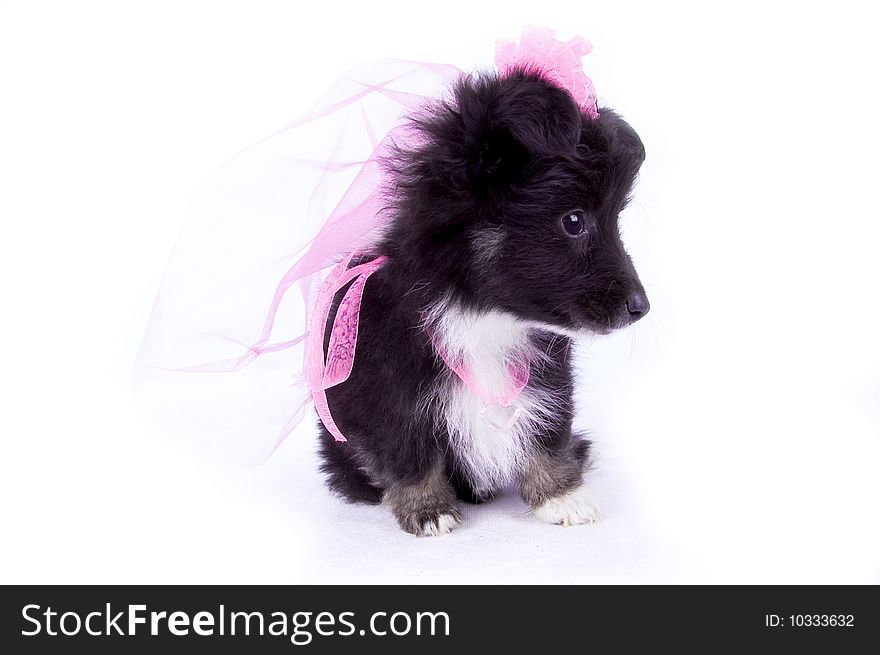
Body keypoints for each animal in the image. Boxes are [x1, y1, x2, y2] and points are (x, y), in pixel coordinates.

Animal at [316, 69, 648, 536]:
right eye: (574, 221)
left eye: (615, 219)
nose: (641, 307)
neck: (483, 314)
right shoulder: (387, 386)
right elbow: (408, 449)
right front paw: (427, 508)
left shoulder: (548, 375)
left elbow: (549, 432)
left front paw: (562, 495)